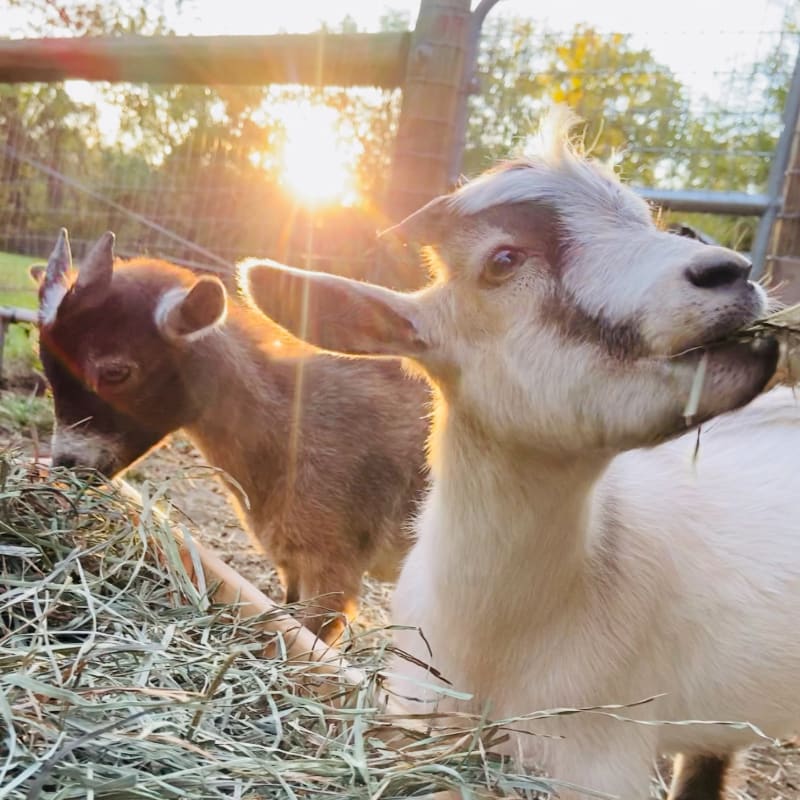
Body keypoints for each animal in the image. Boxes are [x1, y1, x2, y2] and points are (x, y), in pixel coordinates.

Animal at [31, 230, 430, 643]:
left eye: (115, 372)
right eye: (45, 360)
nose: (67, 463)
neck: (292, 421)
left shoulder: (333, 564)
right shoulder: (292, 561)